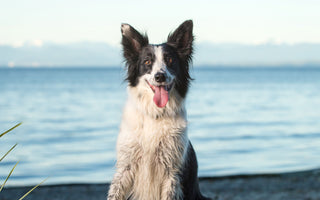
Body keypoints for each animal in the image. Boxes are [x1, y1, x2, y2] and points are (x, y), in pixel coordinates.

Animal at [107, 19, 210, 200]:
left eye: (170, 60)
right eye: (147, 62)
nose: (160, 76)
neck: (154, 114)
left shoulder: (172, 171)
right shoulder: (126, 166)